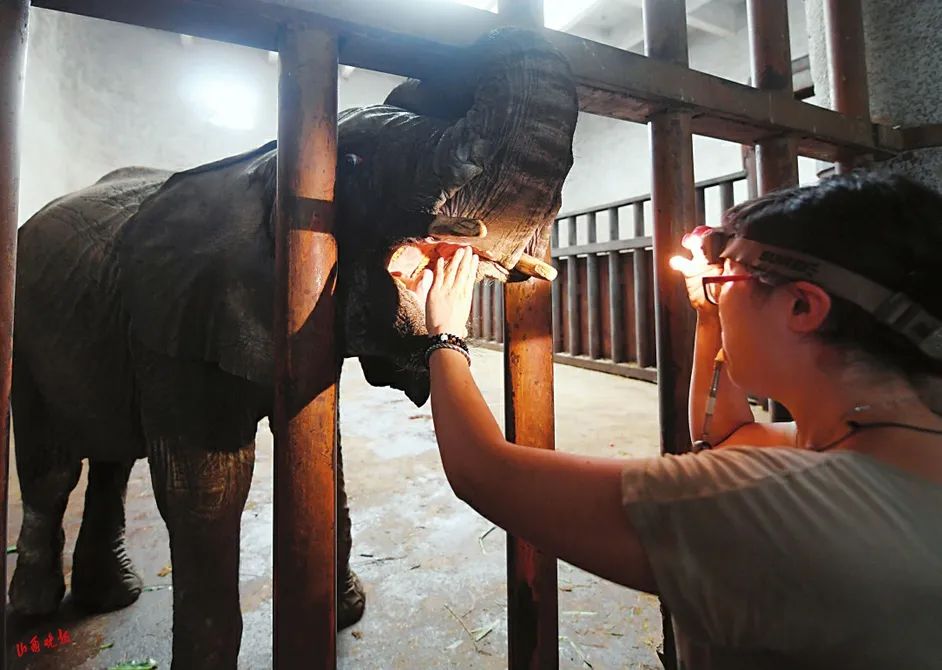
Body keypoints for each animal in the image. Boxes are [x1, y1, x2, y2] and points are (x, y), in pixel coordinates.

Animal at [11, 27, 580, 670]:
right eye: (353, 162)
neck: (263, 168)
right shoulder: (173, 323)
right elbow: (207, 487)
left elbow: (323, 449)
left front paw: (345, 611)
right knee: (51, 465)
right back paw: (36, 610)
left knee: (110, 460)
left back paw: (113, 596)